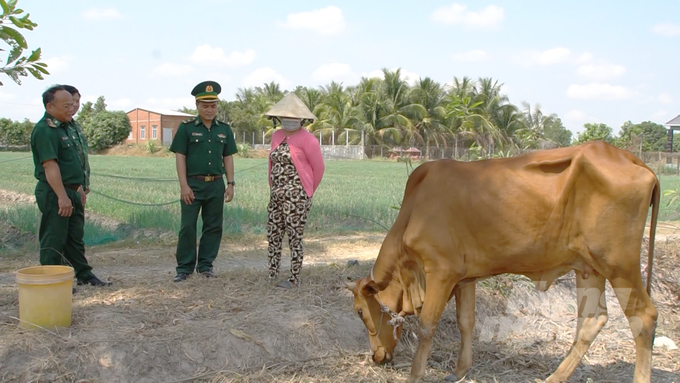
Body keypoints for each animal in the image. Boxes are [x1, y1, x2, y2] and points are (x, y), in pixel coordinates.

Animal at [346, 142, 660, 383]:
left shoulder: (441, 271)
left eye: (360, 312)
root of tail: (629, 157)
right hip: (589, 267)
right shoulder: (464, 277)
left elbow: (427, 325)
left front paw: (415, 374)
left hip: (620, 265)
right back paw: (555, 377)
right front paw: (460, 370)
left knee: (643, 317)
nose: (376, 356)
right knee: (594, 320)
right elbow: (466, 322)